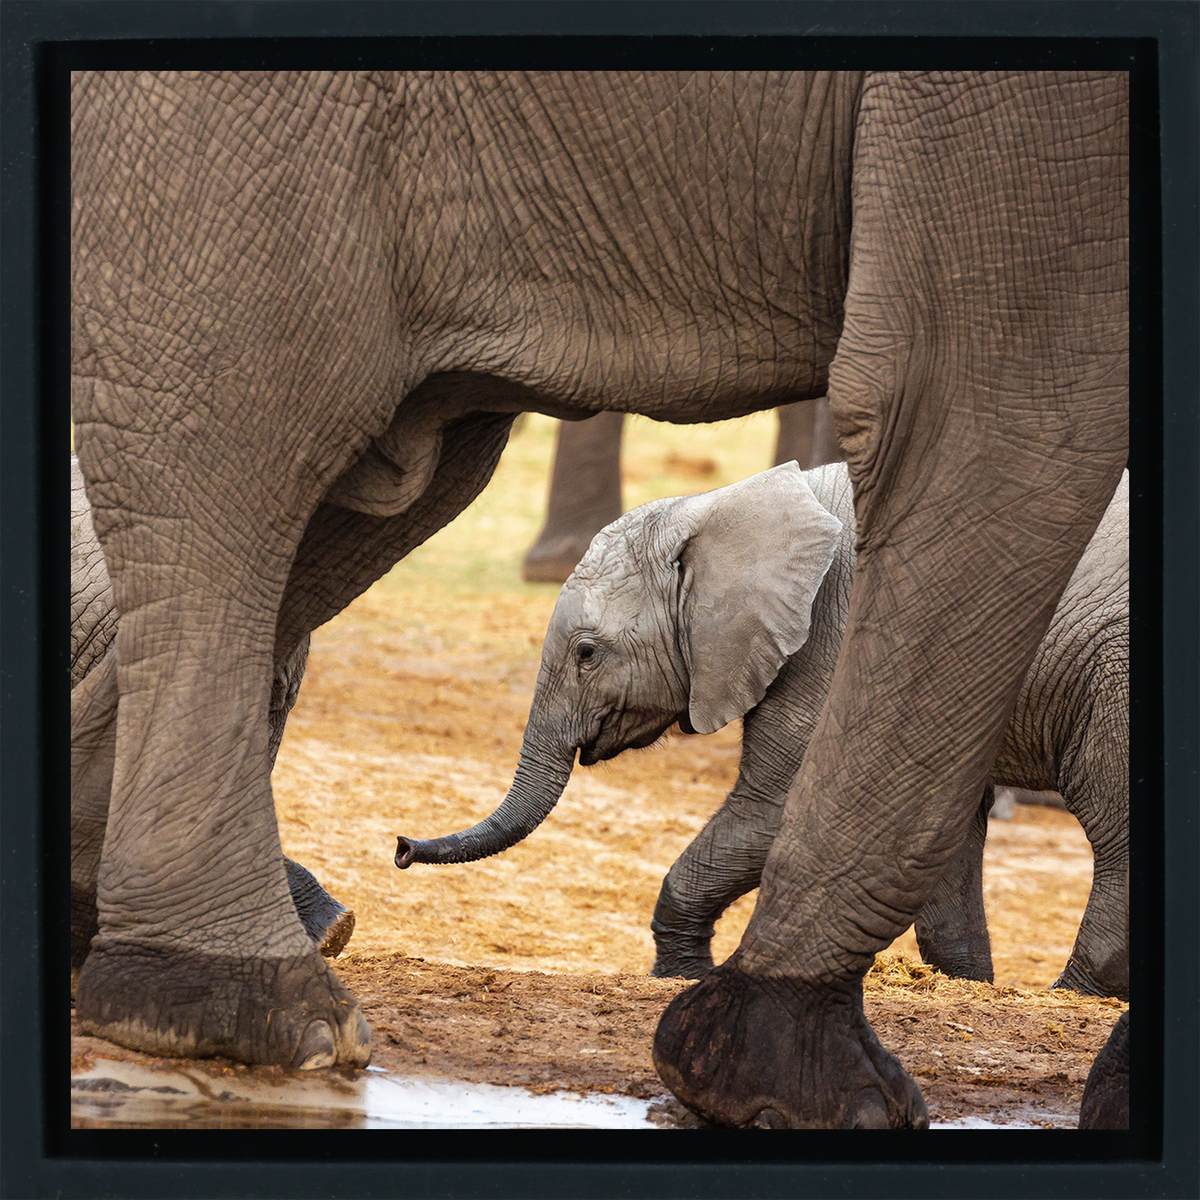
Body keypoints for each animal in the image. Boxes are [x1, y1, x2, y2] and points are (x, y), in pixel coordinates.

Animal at [396, 461, 1130, 999]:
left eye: (586, 653)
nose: (401, 847)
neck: (728, 509)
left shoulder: (839, 641)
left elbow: (785, 808)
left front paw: (684, 977)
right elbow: (936, 826)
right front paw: (965, 985)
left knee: (1113, 822)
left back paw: (1077, 994)